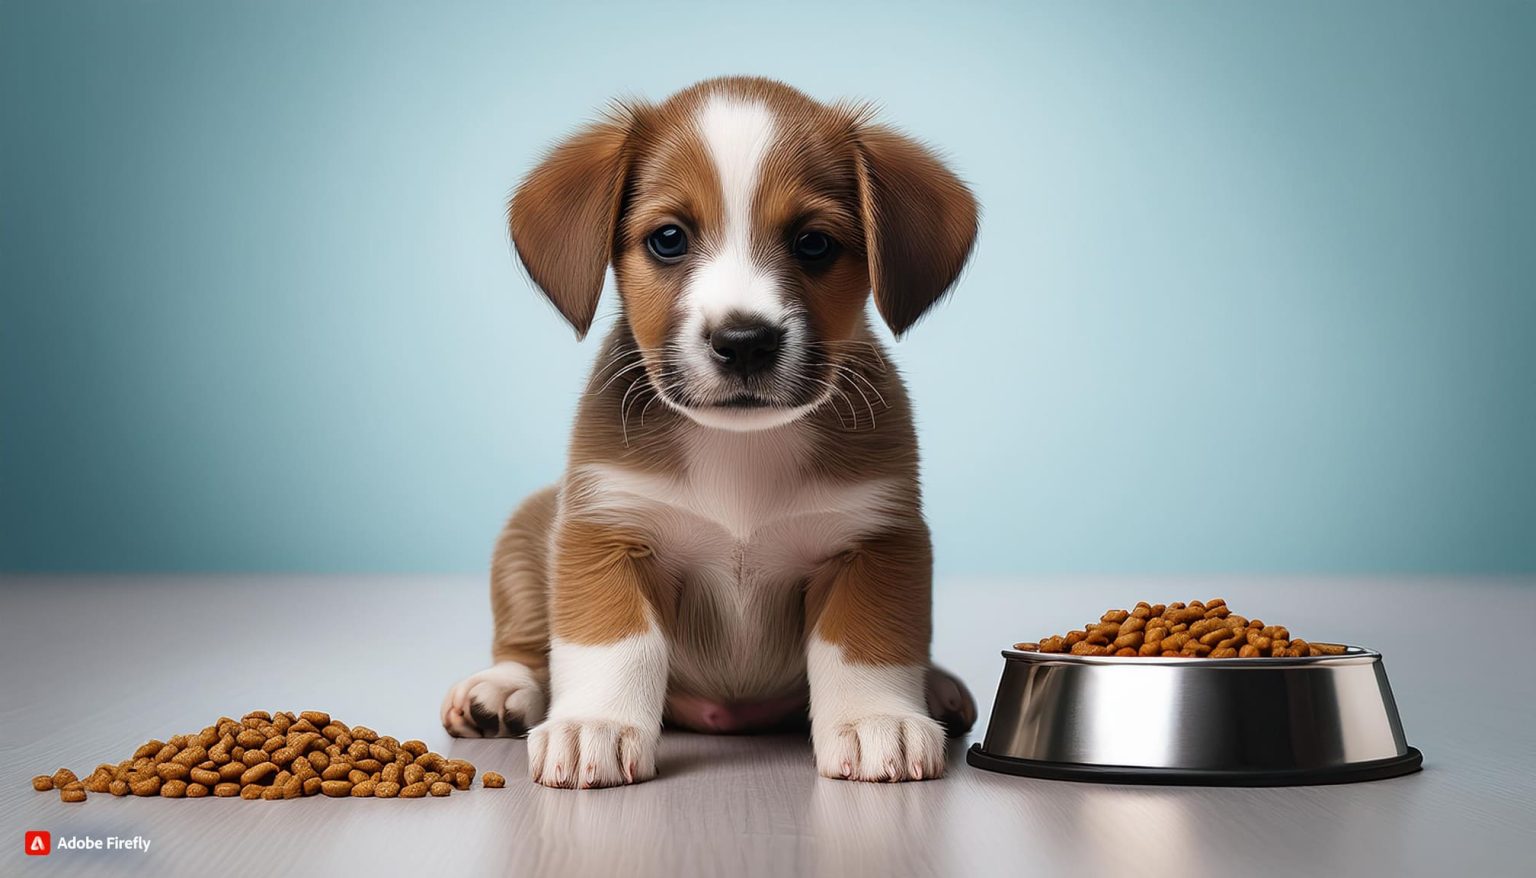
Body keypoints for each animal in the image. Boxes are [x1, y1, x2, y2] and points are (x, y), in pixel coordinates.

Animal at [439, 75, 976, 785]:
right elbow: (614, 643)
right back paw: (503, 688)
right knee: (529, 647)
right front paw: (595, 724)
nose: (744, 341)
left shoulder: (876, 539)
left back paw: (935, 685)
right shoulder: (605, 530)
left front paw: (874, 717)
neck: (741, 450)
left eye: (814, 244)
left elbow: (865, 642)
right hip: (529, 526)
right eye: (669, 238)